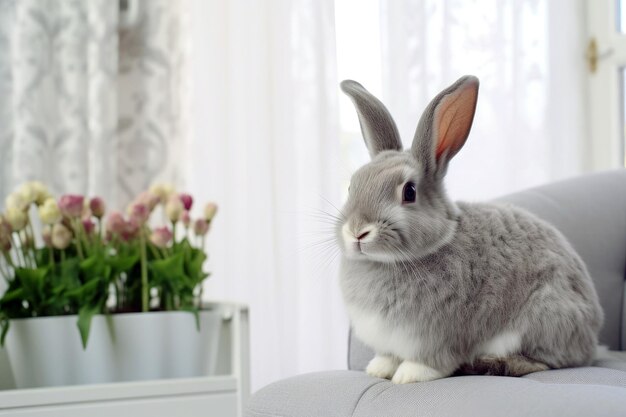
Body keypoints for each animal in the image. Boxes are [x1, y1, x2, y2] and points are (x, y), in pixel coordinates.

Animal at [334, 75, 604, 384]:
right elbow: (387, 357)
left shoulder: (437, 336)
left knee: (544, 362)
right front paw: (379, 369)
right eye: (352, 186)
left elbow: (430, 362)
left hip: (541, 319)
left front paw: (408, 376)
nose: (357, 231)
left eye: (409, 192)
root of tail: (592, 338)